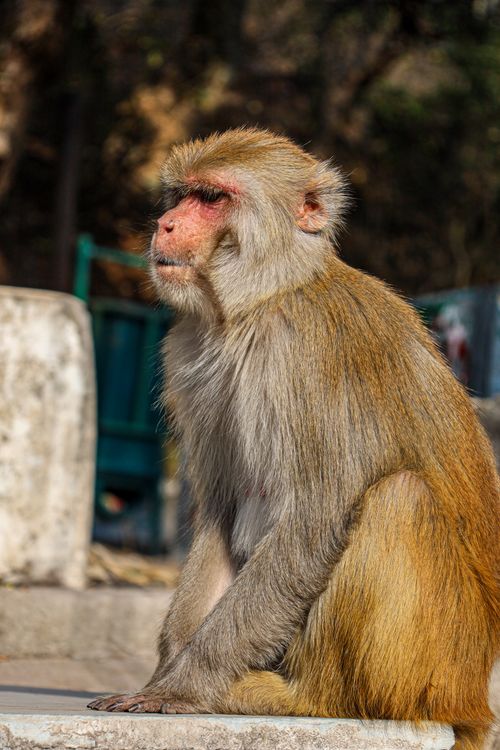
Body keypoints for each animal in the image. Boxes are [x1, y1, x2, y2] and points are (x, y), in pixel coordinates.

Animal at [88, 128, 499, 750]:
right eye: (181, 195)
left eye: (212, 198)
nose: (165, 225)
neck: (262, 298)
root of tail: (472, 694)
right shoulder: (190, 349)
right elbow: (223, 511)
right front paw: (166, 675)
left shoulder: (301, 352)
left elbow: (312, 521)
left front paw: (184, 686)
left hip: (432, 667)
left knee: (399, 499)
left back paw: (302, 696)